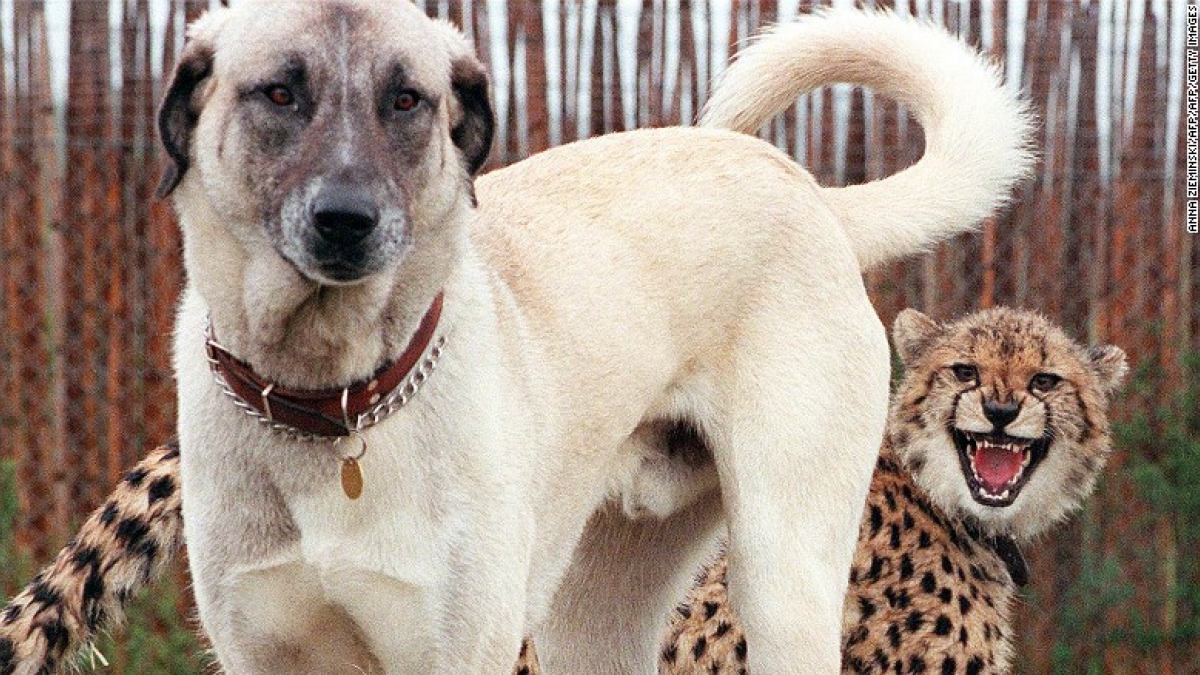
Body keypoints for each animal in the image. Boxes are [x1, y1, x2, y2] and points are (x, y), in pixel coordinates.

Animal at [159, 2, 1032, 667]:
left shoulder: (457, 647)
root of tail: (812, 191)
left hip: (784, 581)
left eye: (407, 100)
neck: (335, 399)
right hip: (593, 609)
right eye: (279, 92)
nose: (347, 219)